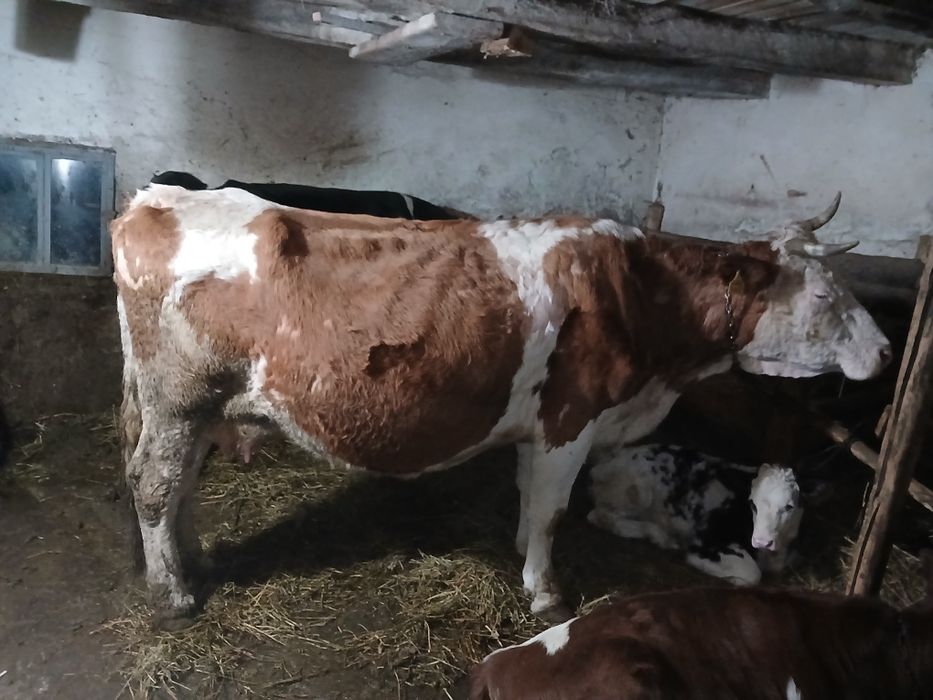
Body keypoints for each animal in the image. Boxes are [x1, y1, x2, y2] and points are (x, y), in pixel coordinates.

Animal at [587, 444, 821, 586]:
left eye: (789, 506)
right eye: (752, 504)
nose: (762, 541)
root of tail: (606, 461)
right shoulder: (708, 542)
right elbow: (753, 574)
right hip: (637, 492)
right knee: (601, 516)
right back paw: (660, 536)